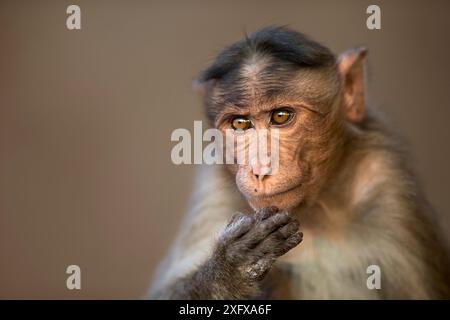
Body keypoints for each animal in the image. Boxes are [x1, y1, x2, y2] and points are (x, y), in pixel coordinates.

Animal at [149, 26, 450, 298]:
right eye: (240, 123)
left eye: (281, 116)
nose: (260, 169)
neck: (312, 211)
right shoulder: (215, 187)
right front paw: (233, 267)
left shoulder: (388, 187)